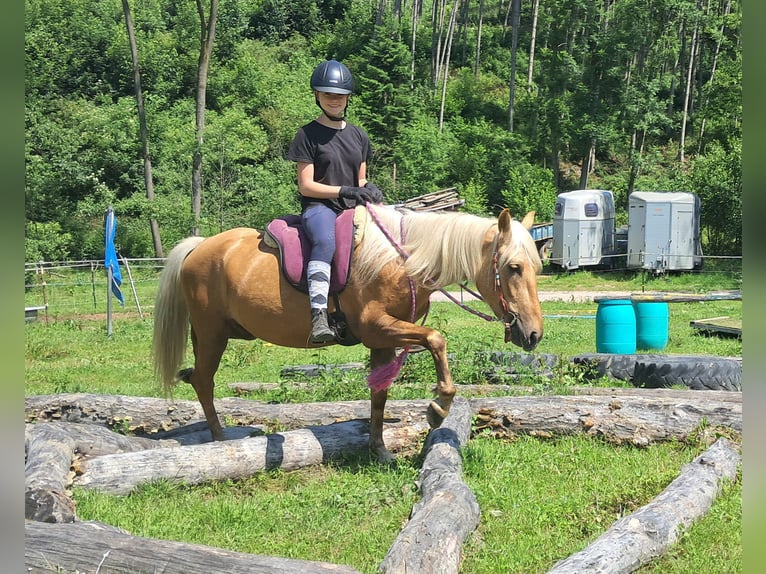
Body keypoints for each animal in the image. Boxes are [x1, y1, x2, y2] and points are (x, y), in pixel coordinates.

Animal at [152, 204, 544, 461]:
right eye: (513, 267)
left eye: (537, 266)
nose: (534, 335)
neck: (400, 262)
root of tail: (200, 246)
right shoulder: (377, 325)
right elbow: (436, 338)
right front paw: (437, 408)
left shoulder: (383, 338)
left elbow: (379, 395)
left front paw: (379, 448)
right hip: (212, 334)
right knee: (203, 381)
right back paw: (220, 440)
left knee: (198, 378)